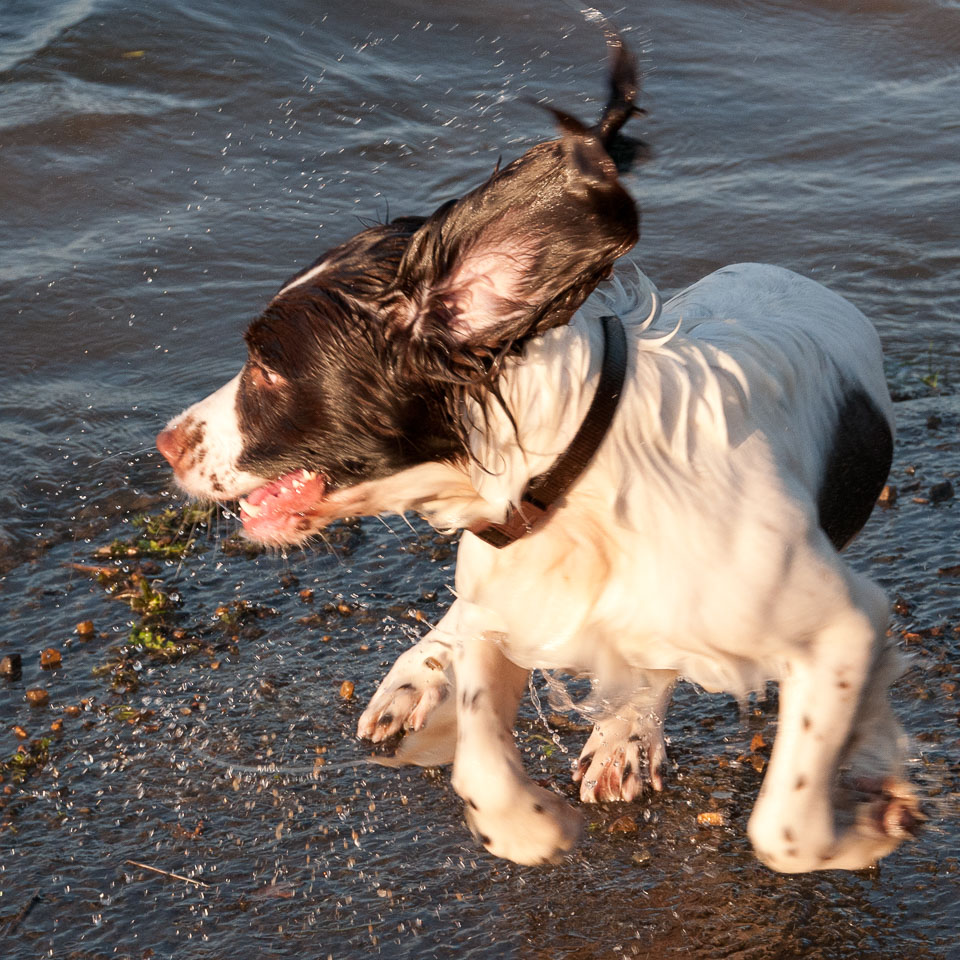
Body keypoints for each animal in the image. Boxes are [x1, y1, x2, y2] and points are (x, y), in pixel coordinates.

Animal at [159, 37, 924, 872]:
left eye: (267, 369)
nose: (165, 444)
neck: (579, 494)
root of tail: (781, 272)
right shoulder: (508, 602)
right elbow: (483, 760)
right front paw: (534, 826)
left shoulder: (842, 627)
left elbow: (783, 826)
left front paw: (868, 825)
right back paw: (419, 681)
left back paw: (624, 735)